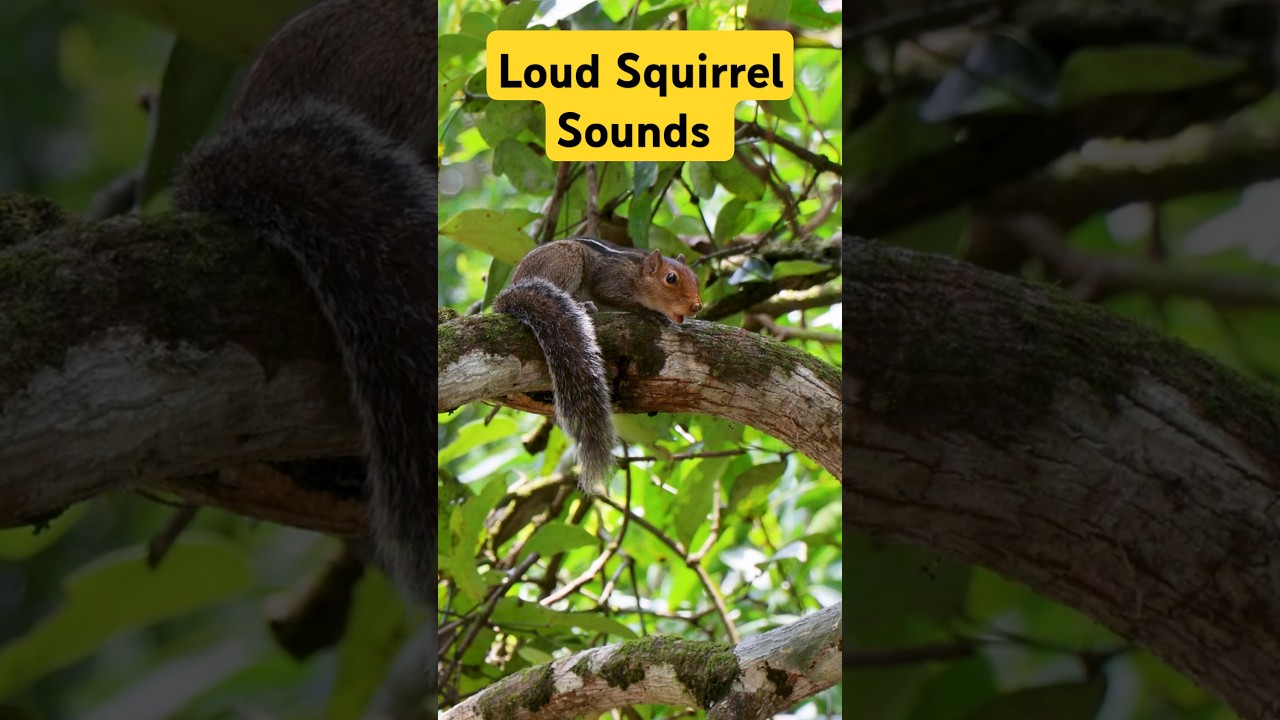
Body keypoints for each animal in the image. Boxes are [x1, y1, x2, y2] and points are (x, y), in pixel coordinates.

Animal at [493, 237, 703, 492]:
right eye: (671, 278)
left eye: (697, 279)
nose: (696, 306)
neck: (638, 272)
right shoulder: (610, 282)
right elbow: (618, 299)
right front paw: (648, 312)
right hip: (566, 262)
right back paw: (582, 306)